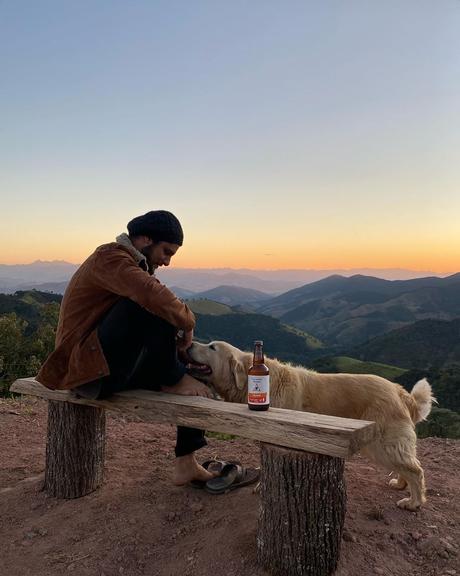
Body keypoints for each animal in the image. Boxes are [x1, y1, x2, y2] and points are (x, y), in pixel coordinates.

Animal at [186, 340, 434, 510]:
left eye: (211, 347)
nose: (188, 345)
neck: (250, 377)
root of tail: (399, 391)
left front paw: (262, 488)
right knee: (408, 465)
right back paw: (400, 485)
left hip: (381, 445)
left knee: (416, 469)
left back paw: (413, 502)